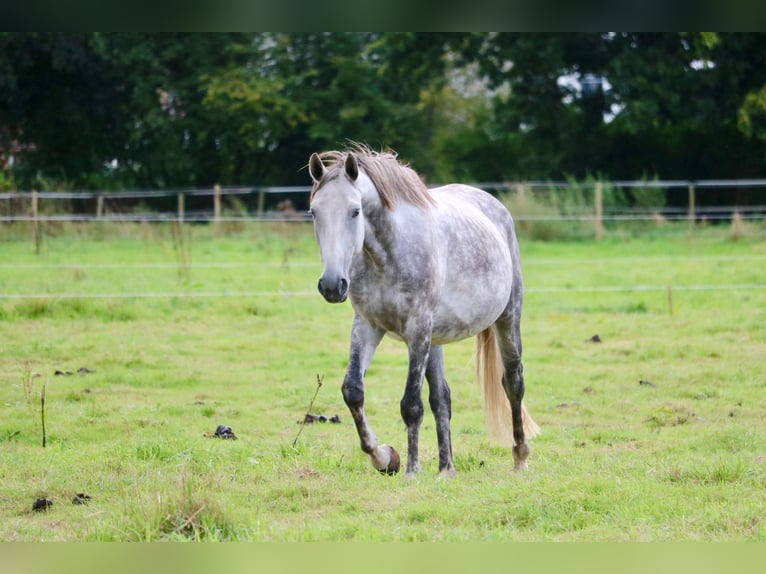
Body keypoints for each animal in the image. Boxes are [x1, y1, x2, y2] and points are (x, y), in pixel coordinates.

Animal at [306, 146, 540, 480]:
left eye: (355, 211)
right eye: (314, 212)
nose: (331, 285)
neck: (386, 253)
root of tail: (495, 207)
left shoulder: (417, 328)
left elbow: (411, 404)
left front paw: (411, 470)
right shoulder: (366, 326)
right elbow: (353, 391)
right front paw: (384, 457)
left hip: (507, 317)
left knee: (513, 383)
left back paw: (519, 457)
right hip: (435, 339)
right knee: (442, 397)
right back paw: (446, 469)